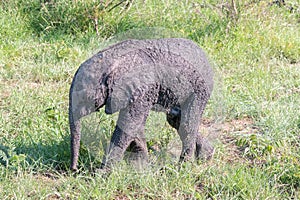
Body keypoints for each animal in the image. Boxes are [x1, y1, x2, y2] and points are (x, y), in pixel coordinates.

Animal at [68, 38, 213, 171]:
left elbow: (130, 123)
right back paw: (205, 156)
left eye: (84, 97)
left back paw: (182, 167)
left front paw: (103, 173)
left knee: (187, 123)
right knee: (176, 120)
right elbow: (136, 125)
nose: (74, 170)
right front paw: (141, 165)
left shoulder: (142, 89)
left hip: (199, 89)